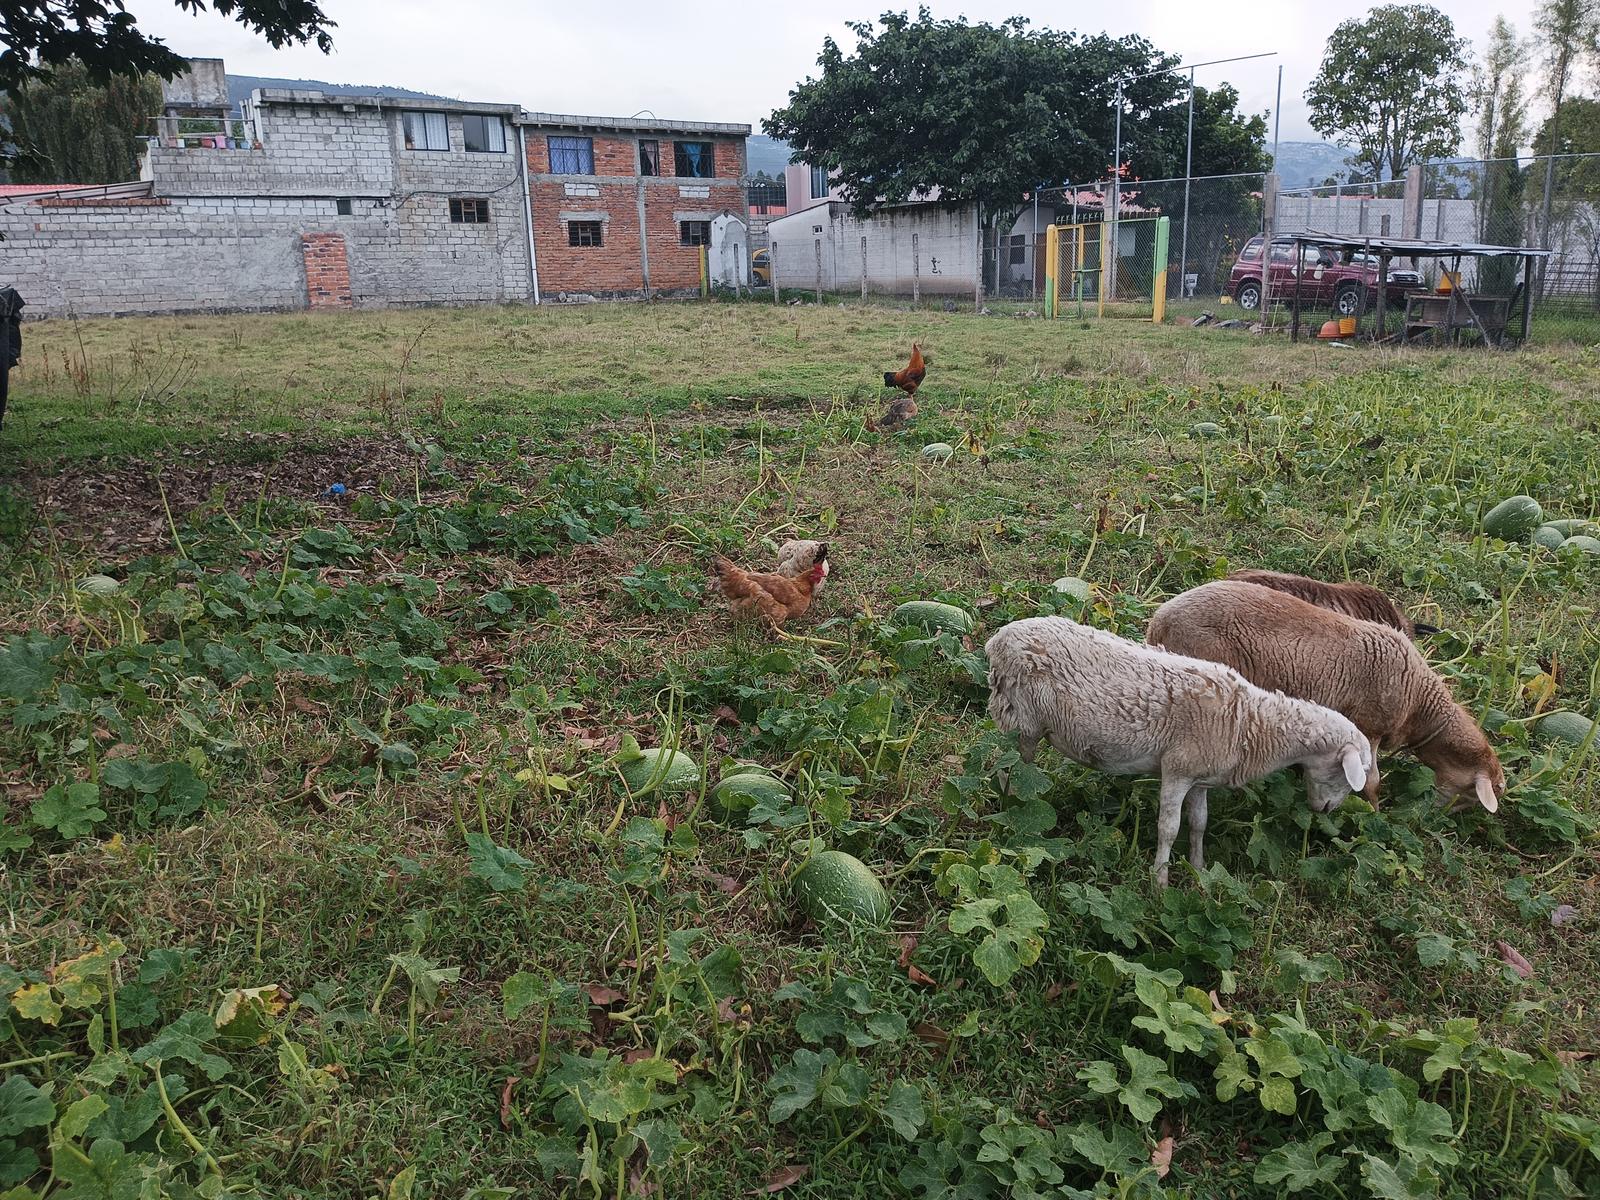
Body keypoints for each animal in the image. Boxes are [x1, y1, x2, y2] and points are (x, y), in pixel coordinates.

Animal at [979, 620, 1369, 883]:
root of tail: (999, 640)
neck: (1252, 723)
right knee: (1013, 765)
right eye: (1348, 775)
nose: (1325, 810)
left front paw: (1198, 870)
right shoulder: (1177, 769)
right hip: (1021, 715)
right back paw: (1013, 808)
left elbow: (1199, 824)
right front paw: (1160, 880)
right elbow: (1169, 827)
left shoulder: (1200, 778)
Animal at [1152, 585, 1497, 819]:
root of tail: (1160, 620)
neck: (1418, 702)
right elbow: (1372, 781)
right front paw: (1373, 814)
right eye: (1470, 794)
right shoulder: (1368, 727)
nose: (1438, 819)